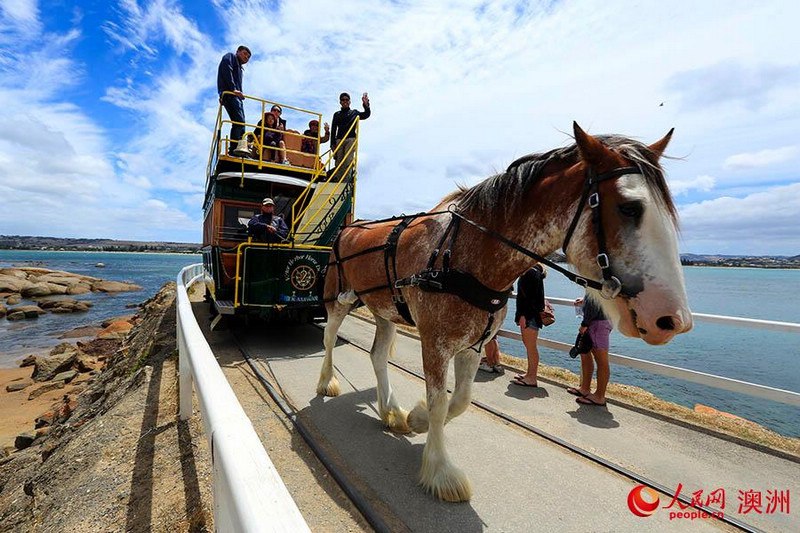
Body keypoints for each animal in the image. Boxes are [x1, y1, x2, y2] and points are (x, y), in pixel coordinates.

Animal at [316, 122, 692, 500]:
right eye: (630, 208)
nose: (674, 320)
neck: (462, 253)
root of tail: (349, 226)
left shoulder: (473, 344)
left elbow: (460, 400)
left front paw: (416, 419)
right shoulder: (435, 344)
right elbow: (440, 403)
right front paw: (441, 470)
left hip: (386, 312)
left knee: (378, 356)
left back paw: (391, 411)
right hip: (337, 299)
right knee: (329, 337)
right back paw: (327, 383)